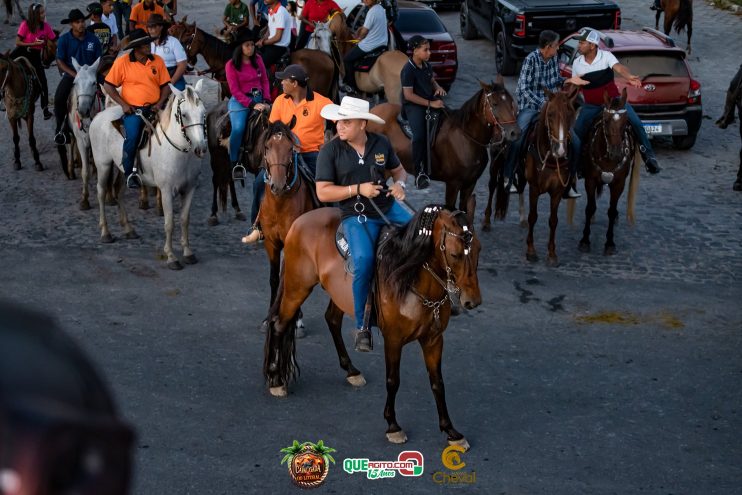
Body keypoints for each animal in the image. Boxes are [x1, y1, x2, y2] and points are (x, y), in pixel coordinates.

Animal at [92, 86, 211, 272]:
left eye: (203, 113)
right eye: (184, 114)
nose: (201, 148)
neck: (178, 151)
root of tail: (100, 115)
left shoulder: (189, 189)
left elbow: (185, 220)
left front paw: (188, 252)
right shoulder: (166, 191)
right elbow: (169, 223)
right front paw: (171, 257)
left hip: (122, 170)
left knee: (119, 192)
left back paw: (128, 229)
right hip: (103, 165)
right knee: (101, 193)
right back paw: (105, 232)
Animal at [264, 202, 486, 450]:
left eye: (478, 249)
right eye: (455, 254)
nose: (472, 301)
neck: (408, 278)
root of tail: (299, 222)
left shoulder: (434, 339)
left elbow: (437, 383)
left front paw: (451, 431)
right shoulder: (393, 339)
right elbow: (393, 380)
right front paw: (393, 426)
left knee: (332, 319)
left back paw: (351, 370)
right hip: (297, 287)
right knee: (279, 325)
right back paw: (276, 380)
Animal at [370, 78, 520, 214]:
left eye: (512, 102)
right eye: (495, 104)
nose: (515, 132)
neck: (467, 137)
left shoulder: (470, 184)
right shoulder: (453, 184)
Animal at [524, 87, 580, 270]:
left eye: (570, 114)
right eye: (550, 114)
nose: (560, 150)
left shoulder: (557, 191)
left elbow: (553, 220)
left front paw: (552, 254)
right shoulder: (534, 188)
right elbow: (533, 216)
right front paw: (531, 251)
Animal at [568, 89, 644, 258]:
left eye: (625, 121)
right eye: (607, 120)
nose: (616, 153)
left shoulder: (618, 184)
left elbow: (611, 211)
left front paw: (610, 243)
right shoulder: (590, 180)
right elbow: (590, 208)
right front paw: (585, 240)